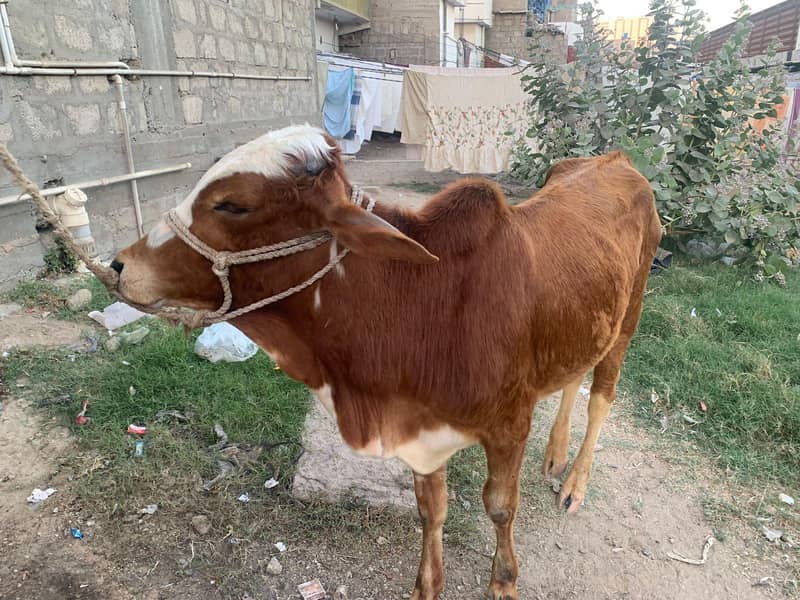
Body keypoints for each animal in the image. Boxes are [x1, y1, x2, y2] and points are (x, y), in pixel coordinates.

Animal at [111, 124, 661, 600]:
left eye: (233, 205)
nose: (119, 265)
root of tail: (619, 161)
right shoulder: (422, 432)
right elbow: (431, 511)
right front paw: (426, 586)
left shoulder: (509, 425)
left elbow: (501, 508)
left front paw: (504, 581)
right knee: (573, 376)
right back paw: (555, 453)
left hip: (630, 316)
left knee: (601, 397)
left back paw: (573, 482)